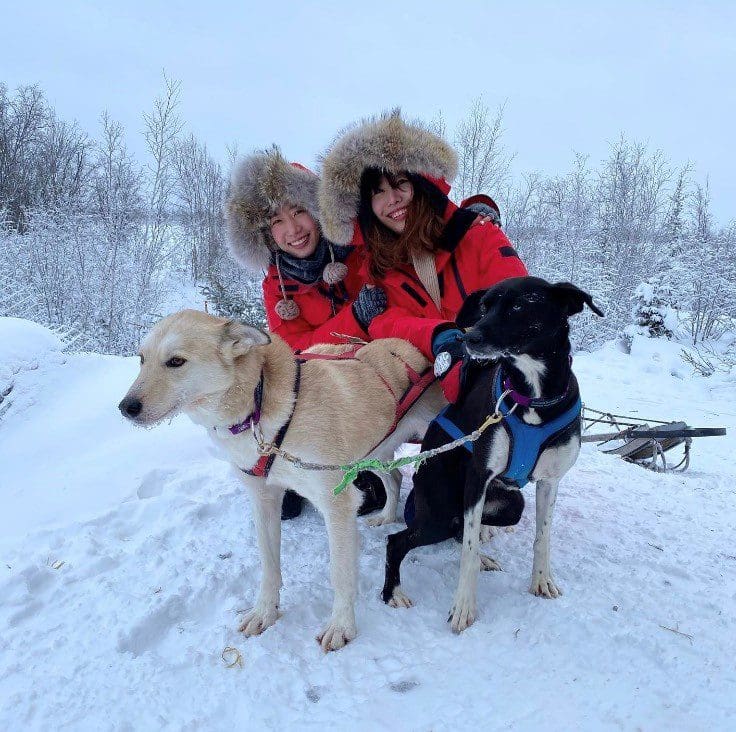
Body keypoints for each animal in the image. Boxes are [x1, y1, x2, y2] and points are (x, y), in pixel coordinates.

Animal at [119, 310, 442, 652]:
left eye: (176, 361)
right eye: (141, 359)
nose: (126, 407)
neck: (259, 411)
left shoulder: (337, 504)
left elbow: (340, 573)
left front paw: (341, 625)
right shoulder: (264, 501)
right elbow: (269, 566)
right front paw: (265, 612)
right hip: (372, 451)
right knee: (393, 476)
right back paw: (387, 516)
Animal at [382, 278, 600, 632]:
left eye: (520, 305)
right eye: (484, 306)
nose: (469, 338)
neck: (530, 398)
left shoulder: (549, 481)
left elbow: (543, 536)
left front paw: (541, 580)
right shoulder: (478, 478)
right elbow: (468, 552)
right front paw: (464, 606)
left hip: (510, 504)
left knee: (462, 524)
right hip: (440, 509)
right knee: (398, 541)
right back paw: (393, 593)